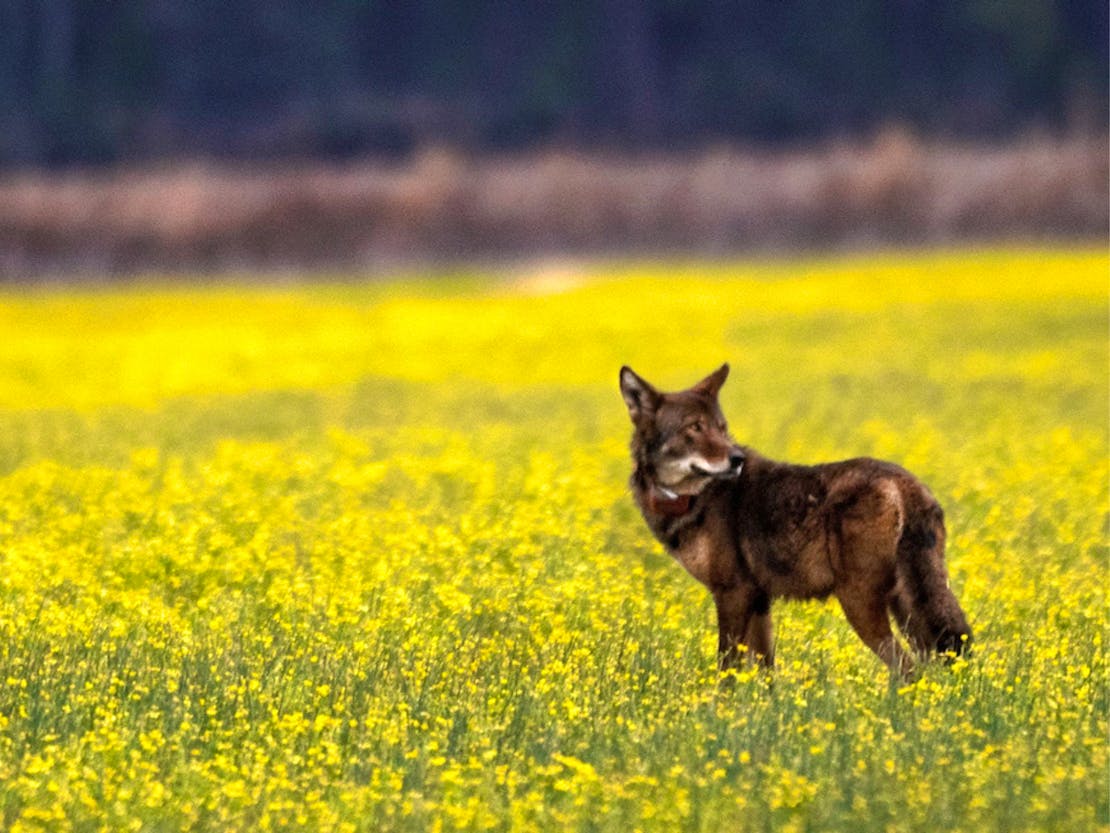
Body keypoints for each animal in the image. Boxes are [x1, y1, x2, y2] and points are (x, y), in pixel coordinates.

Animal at [621, 362, 976, 675]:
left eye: (721, 429)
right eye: (694, 428)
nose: (736, 459)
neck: (694, 498)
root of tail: (906, 484)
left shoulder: (732, 594)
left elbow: (726, 672)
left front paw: (718, 710)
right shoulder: (759, 600)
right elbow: (766, 673)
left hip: (861, 604)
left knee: (906, 670)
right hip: (909, 611)